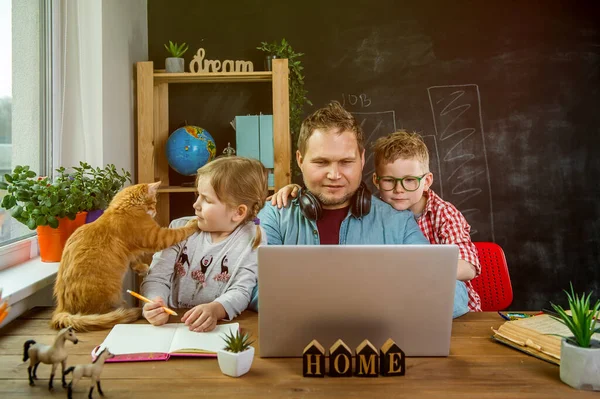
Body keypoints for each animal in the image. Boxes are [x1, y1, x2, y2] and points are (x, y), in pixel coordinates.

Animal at [52, 181, 198, 332]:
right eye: (154, 202)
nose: (155, 211)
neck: (123, 207)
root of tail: (62, 308)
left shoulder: (131, 250)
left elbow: (134, 260)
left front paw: (142, 268)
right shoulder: (158, 236)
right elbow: (180, 231)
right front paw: (193, 222)